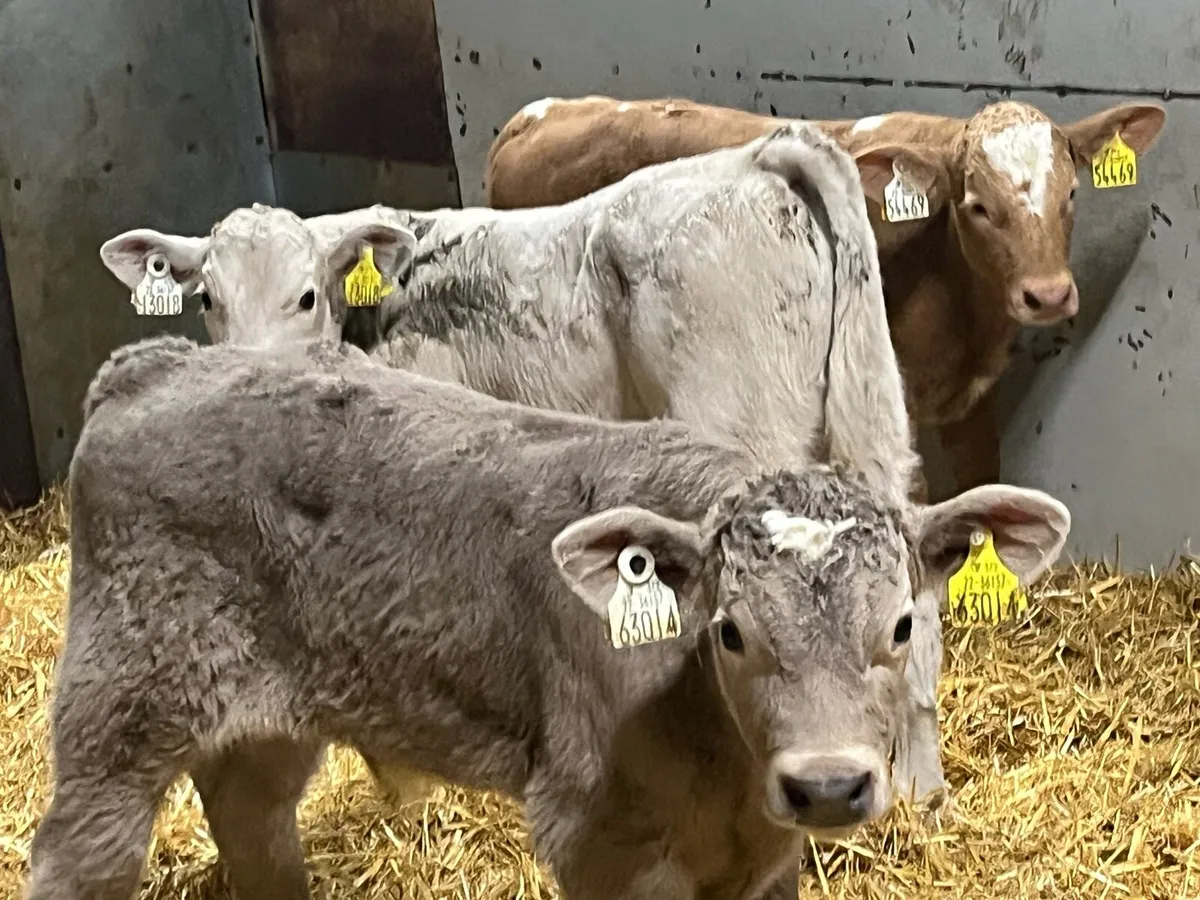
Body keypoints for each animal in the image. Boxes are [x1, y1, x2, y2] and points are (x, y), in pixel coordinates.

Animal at [25, 334, 1071, 900]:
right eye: (730, 631)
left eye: (900, 626)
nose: (825, 784)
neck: (723, 771)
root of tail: (154, 365)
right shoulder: (596, 836)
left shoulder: (768, 860)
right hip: (117, 710)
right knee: (80, 852)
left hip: (266, 722)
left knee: (252, 816)